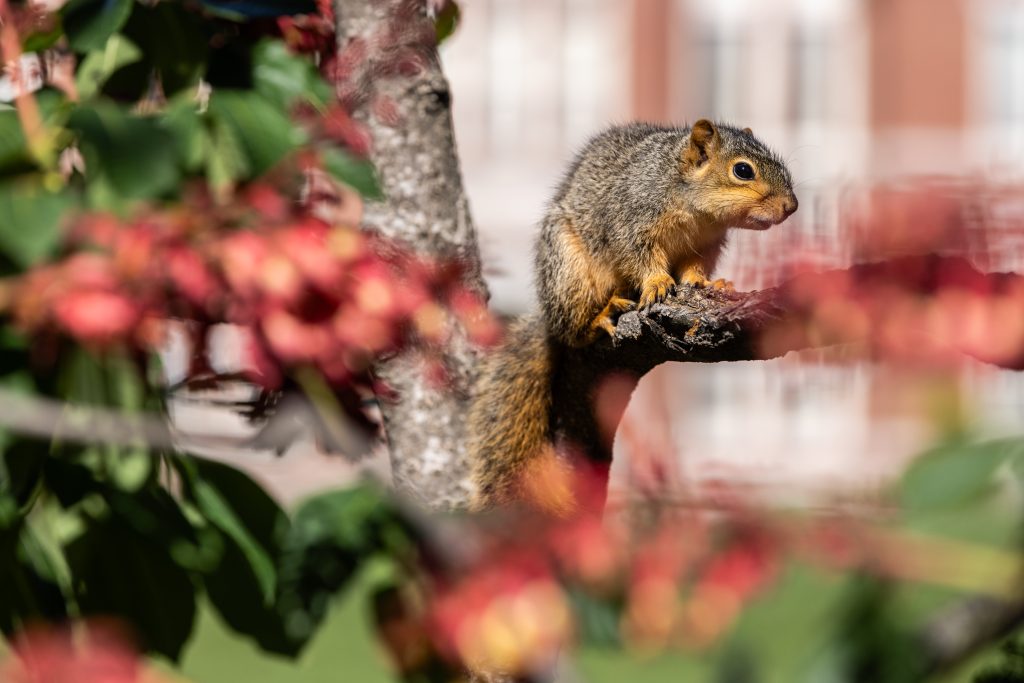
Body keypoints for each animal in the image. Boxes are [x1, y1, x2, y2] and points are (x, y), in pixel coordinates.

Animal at [467, 119, 798, 514]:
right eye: (743, 170)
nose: (791, 206)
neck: (694, 208)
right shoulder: (631, 221)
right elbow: (640, 258)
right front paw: (656, 283)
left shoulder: (704, 245)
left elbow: (693, 269)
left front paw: (707, 282)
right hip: (571, 273)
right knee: (572, 330)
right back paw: (600, 315)